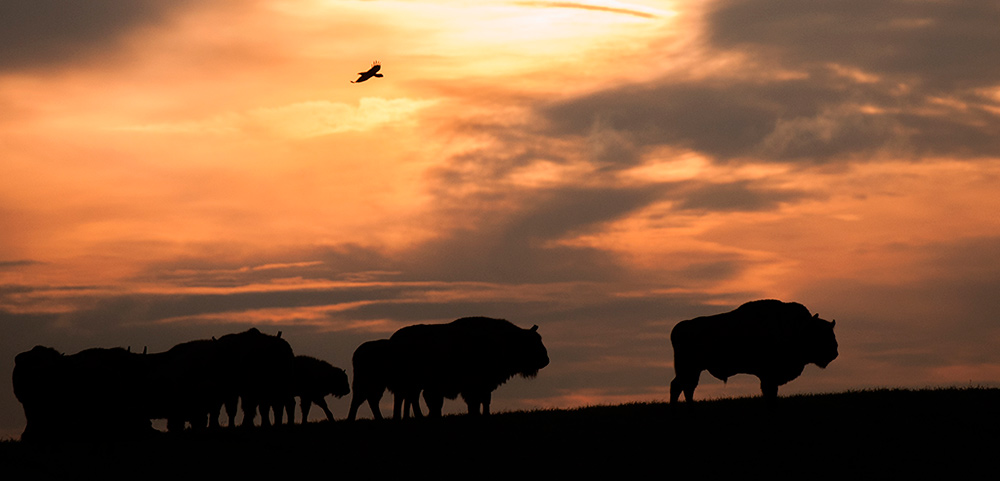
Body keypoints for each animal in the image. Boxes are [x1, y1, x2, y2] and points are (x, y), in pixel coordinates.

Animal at [388, 316, 548, 414]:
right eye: (533, 342)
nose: (546, 360)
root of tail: (394, 339)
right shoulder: (473, 387)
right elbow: (475, 403)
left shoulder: (485, 386)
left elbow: (484, 401)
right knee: (407, 399)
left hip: (413, 384)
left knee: (408, 399)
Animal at [672, 300, 836, 402]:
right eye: (820, 334)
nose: (835, 352)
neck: (798, 329)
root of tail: (678, 329)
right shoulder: (769, 375)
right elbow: (769, 391)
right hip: (689, 368)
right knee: (681, 386)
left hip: (693, 370)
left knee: (684, 386)